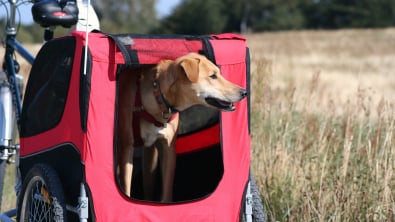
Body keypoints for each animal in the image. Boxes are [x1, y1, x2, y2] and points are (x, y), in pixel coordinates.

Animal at [116, 52, 246, 203]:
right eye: (213, 76)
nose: (244, 92)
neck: (158, 97)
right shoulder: (126, 148)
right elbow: (126, 188)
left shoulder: (169, 148)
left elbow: (167, 191)